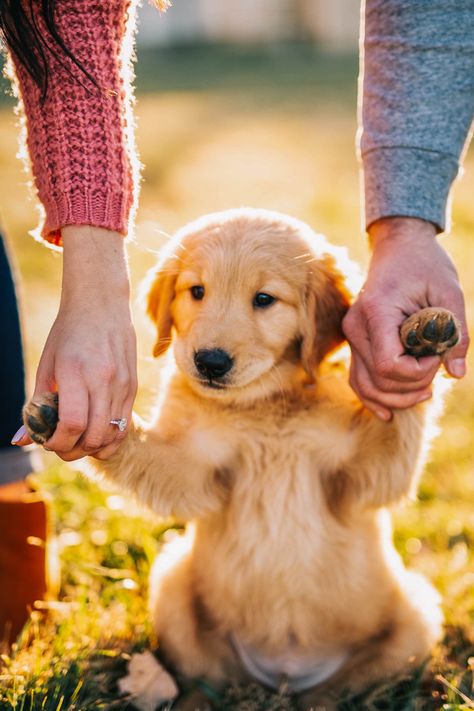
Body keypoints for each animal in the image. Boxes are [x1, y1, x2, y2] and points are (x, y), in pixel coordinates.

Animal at [25, 209, 460, 708]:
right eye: (196, 291)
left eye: (264, 299)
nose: (210, 362)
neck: (263, 404)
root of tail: (282, 675)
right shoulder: (194, 471)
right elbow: (142, 451)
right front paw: (72, 414)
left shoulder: (365, 474)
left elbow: (402, 415)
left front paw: (419, 335)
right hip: (172, 583)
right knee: (205, 678)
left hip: (415, 614)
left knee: (342, 688)